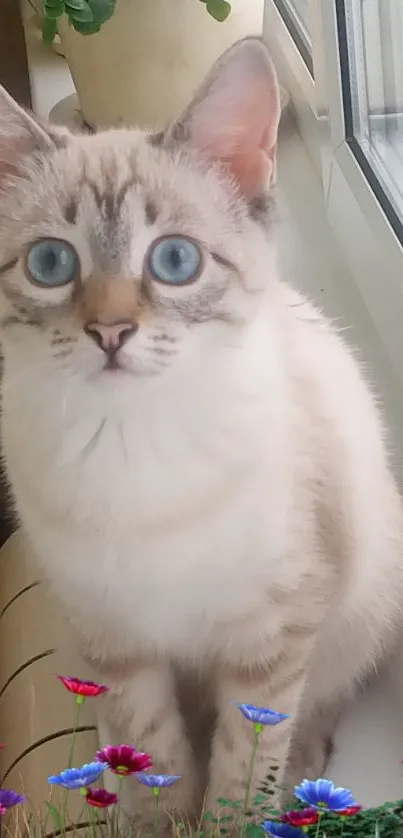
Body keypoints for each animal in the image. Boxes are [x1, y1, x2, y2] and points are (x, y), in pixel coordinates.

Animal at [0, 34, 403, 832]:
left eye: (175, 261)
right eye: (51, 264)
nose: (110, 332)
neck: (131, 445)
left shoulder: (270, 642)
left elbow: (245, 761)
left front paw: (229, 819)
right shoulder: (116, 644)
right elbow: (152, 750)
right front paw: (156, 820)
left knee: (322, 700)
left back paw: (306, 772)